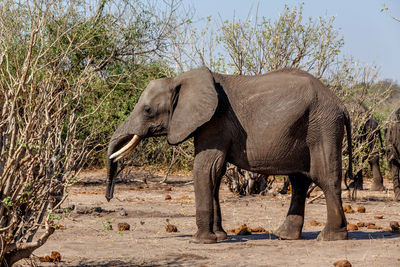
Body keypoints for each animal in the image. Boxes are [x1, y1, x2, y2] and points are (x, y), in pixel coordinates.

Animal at [105, 66, 354, 243]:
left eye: (148, 111)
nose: (109, 196)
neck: (181, 79)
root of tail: (341, 104)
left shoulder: (215, 121)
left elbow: (206, 168)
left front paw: (201, 241)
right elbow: (216, 173)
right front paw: (220, 237)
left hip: (323, 127)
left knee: (324, 177)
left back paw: (330, 237)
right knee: (299, 180)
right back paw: (284, 235)